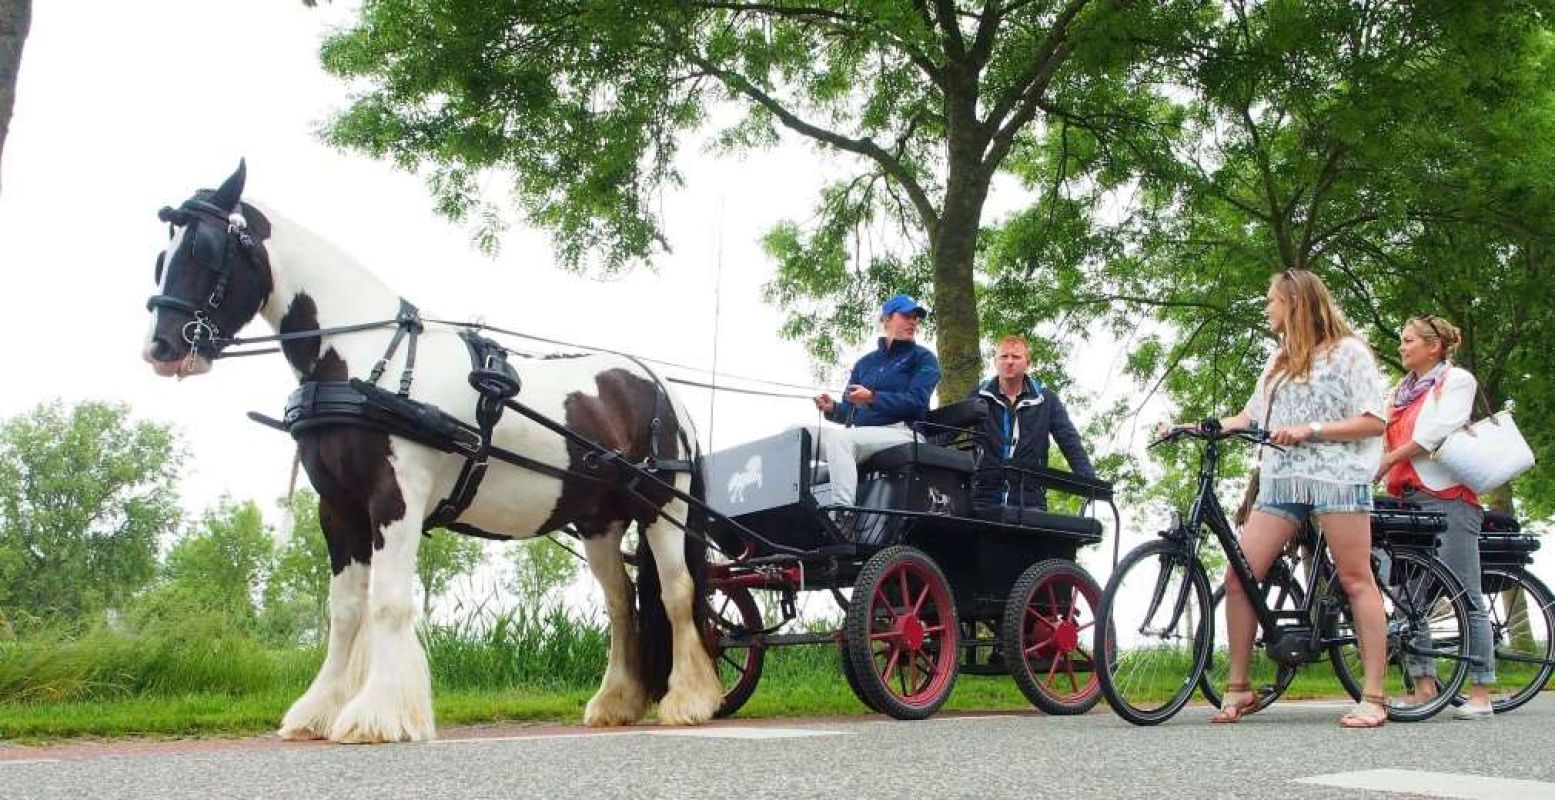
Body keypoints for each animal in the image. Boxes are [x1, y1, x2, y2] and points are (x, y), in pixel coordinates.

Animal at [139, 161, 721, 740]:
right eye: (161, 259)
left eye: (204, 250)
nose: (160, 349)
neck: (365, 361)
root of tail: (659, 386)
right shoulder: (338, 508)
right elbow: (345, 610)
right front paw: (319, 710)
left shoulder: (395, 497)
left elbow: (389, 603)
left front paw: (378, 714)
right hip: (600, 520)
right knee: (621, 602)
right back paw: (616, 702)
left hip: (663, 507)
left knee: (675, 592)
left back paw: (689, 700)